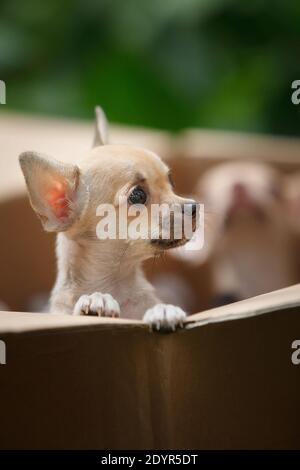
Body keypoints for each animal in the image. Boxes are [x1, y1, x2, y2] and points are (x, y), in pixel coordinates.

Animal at [18, 108, 198, 328]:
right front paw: (97, 299)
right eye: (137, 196)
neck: (116, 281)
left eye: (171, 181)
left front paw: (163, 310)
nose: (194, 206)